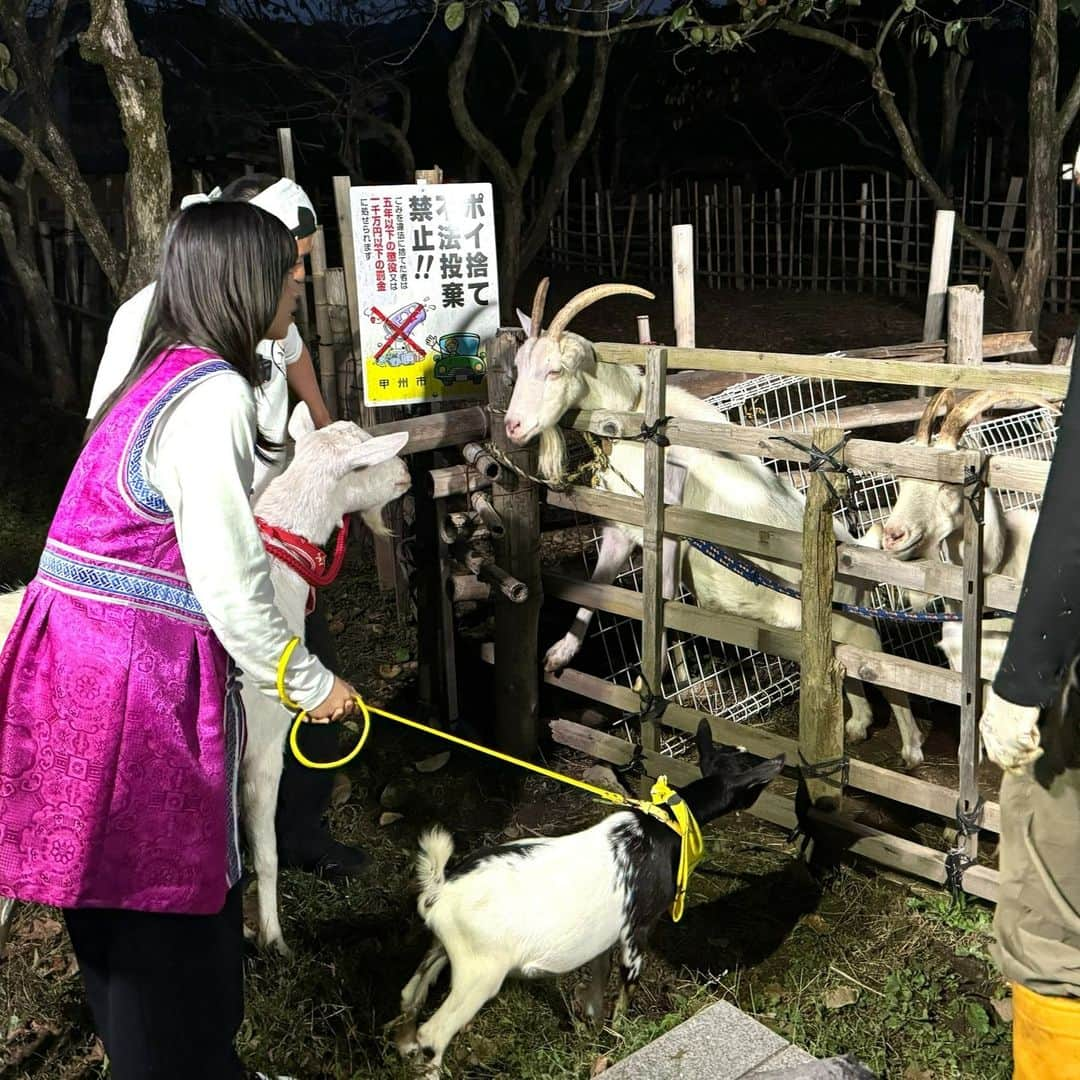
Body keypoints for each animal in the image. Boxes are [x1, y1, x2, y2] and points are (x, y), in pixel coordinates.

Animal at [393, 717, 781, 1071]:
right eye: (753, 773)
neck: (662, 829)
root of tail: (440, 890)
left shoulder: (603, 938)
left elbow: (597, 989)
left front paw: (596, 1036)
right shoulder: (637, 929)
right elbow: (626, 988)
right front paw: (624, 1033)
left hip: (442, 948)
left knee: (409, 999)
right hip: (480, 970)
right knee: (434, 1034)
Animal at [501, 280, 924, 768]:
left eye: (554, 371)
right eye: (518, 368)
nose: (513, 426)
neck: (630, 414)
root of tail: (856, 551)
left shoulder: (664, 524)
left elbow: (662, 597)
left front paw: (652, 682)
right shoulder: (619, 530)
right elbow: (597, 588)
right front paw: (558, 655)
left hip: (849, 620)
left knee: (881, 666)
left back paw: (912, 747)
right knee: (845, 669)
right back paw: (856, 725)